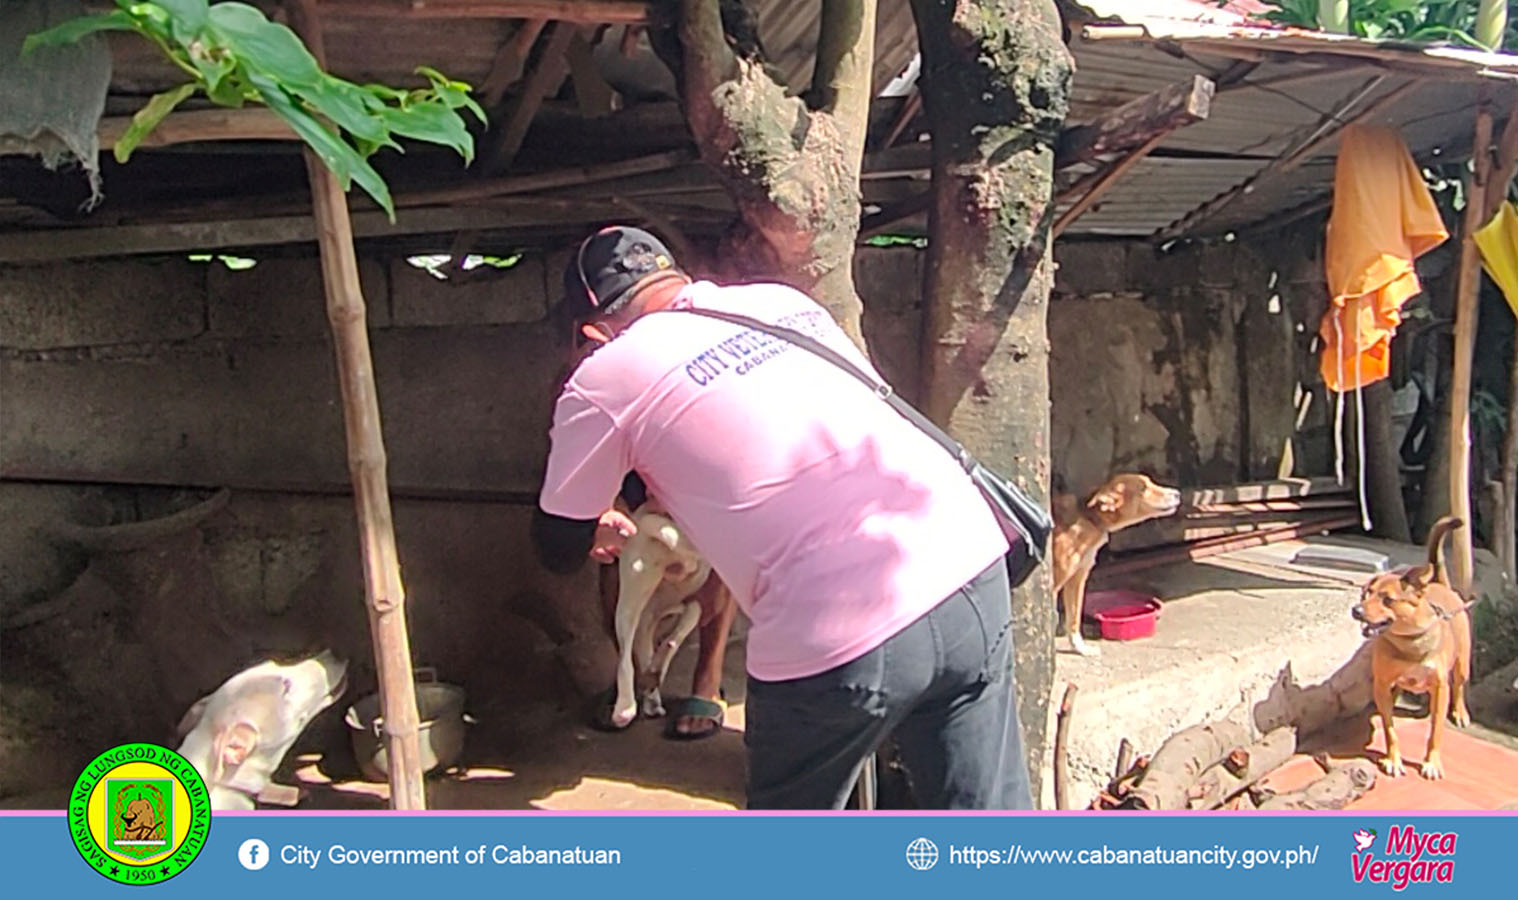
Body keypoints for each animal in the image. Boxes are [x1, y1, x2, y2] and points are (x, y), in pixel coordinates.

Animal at [1354, 516, 1469, 777]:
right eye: (1366, 594)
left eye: (1387, 600)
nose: (1356, 610)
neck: (1408, 643)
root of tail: (1440, 585)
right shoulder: (1382, 684)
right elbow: (1390, 729)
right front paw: (1393, 759)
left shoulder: (1440, 689)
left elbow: (1435, 731)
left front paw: (1431, 762)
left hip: (1462, 663)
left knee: (1459, 686)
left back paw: (1460, 712)